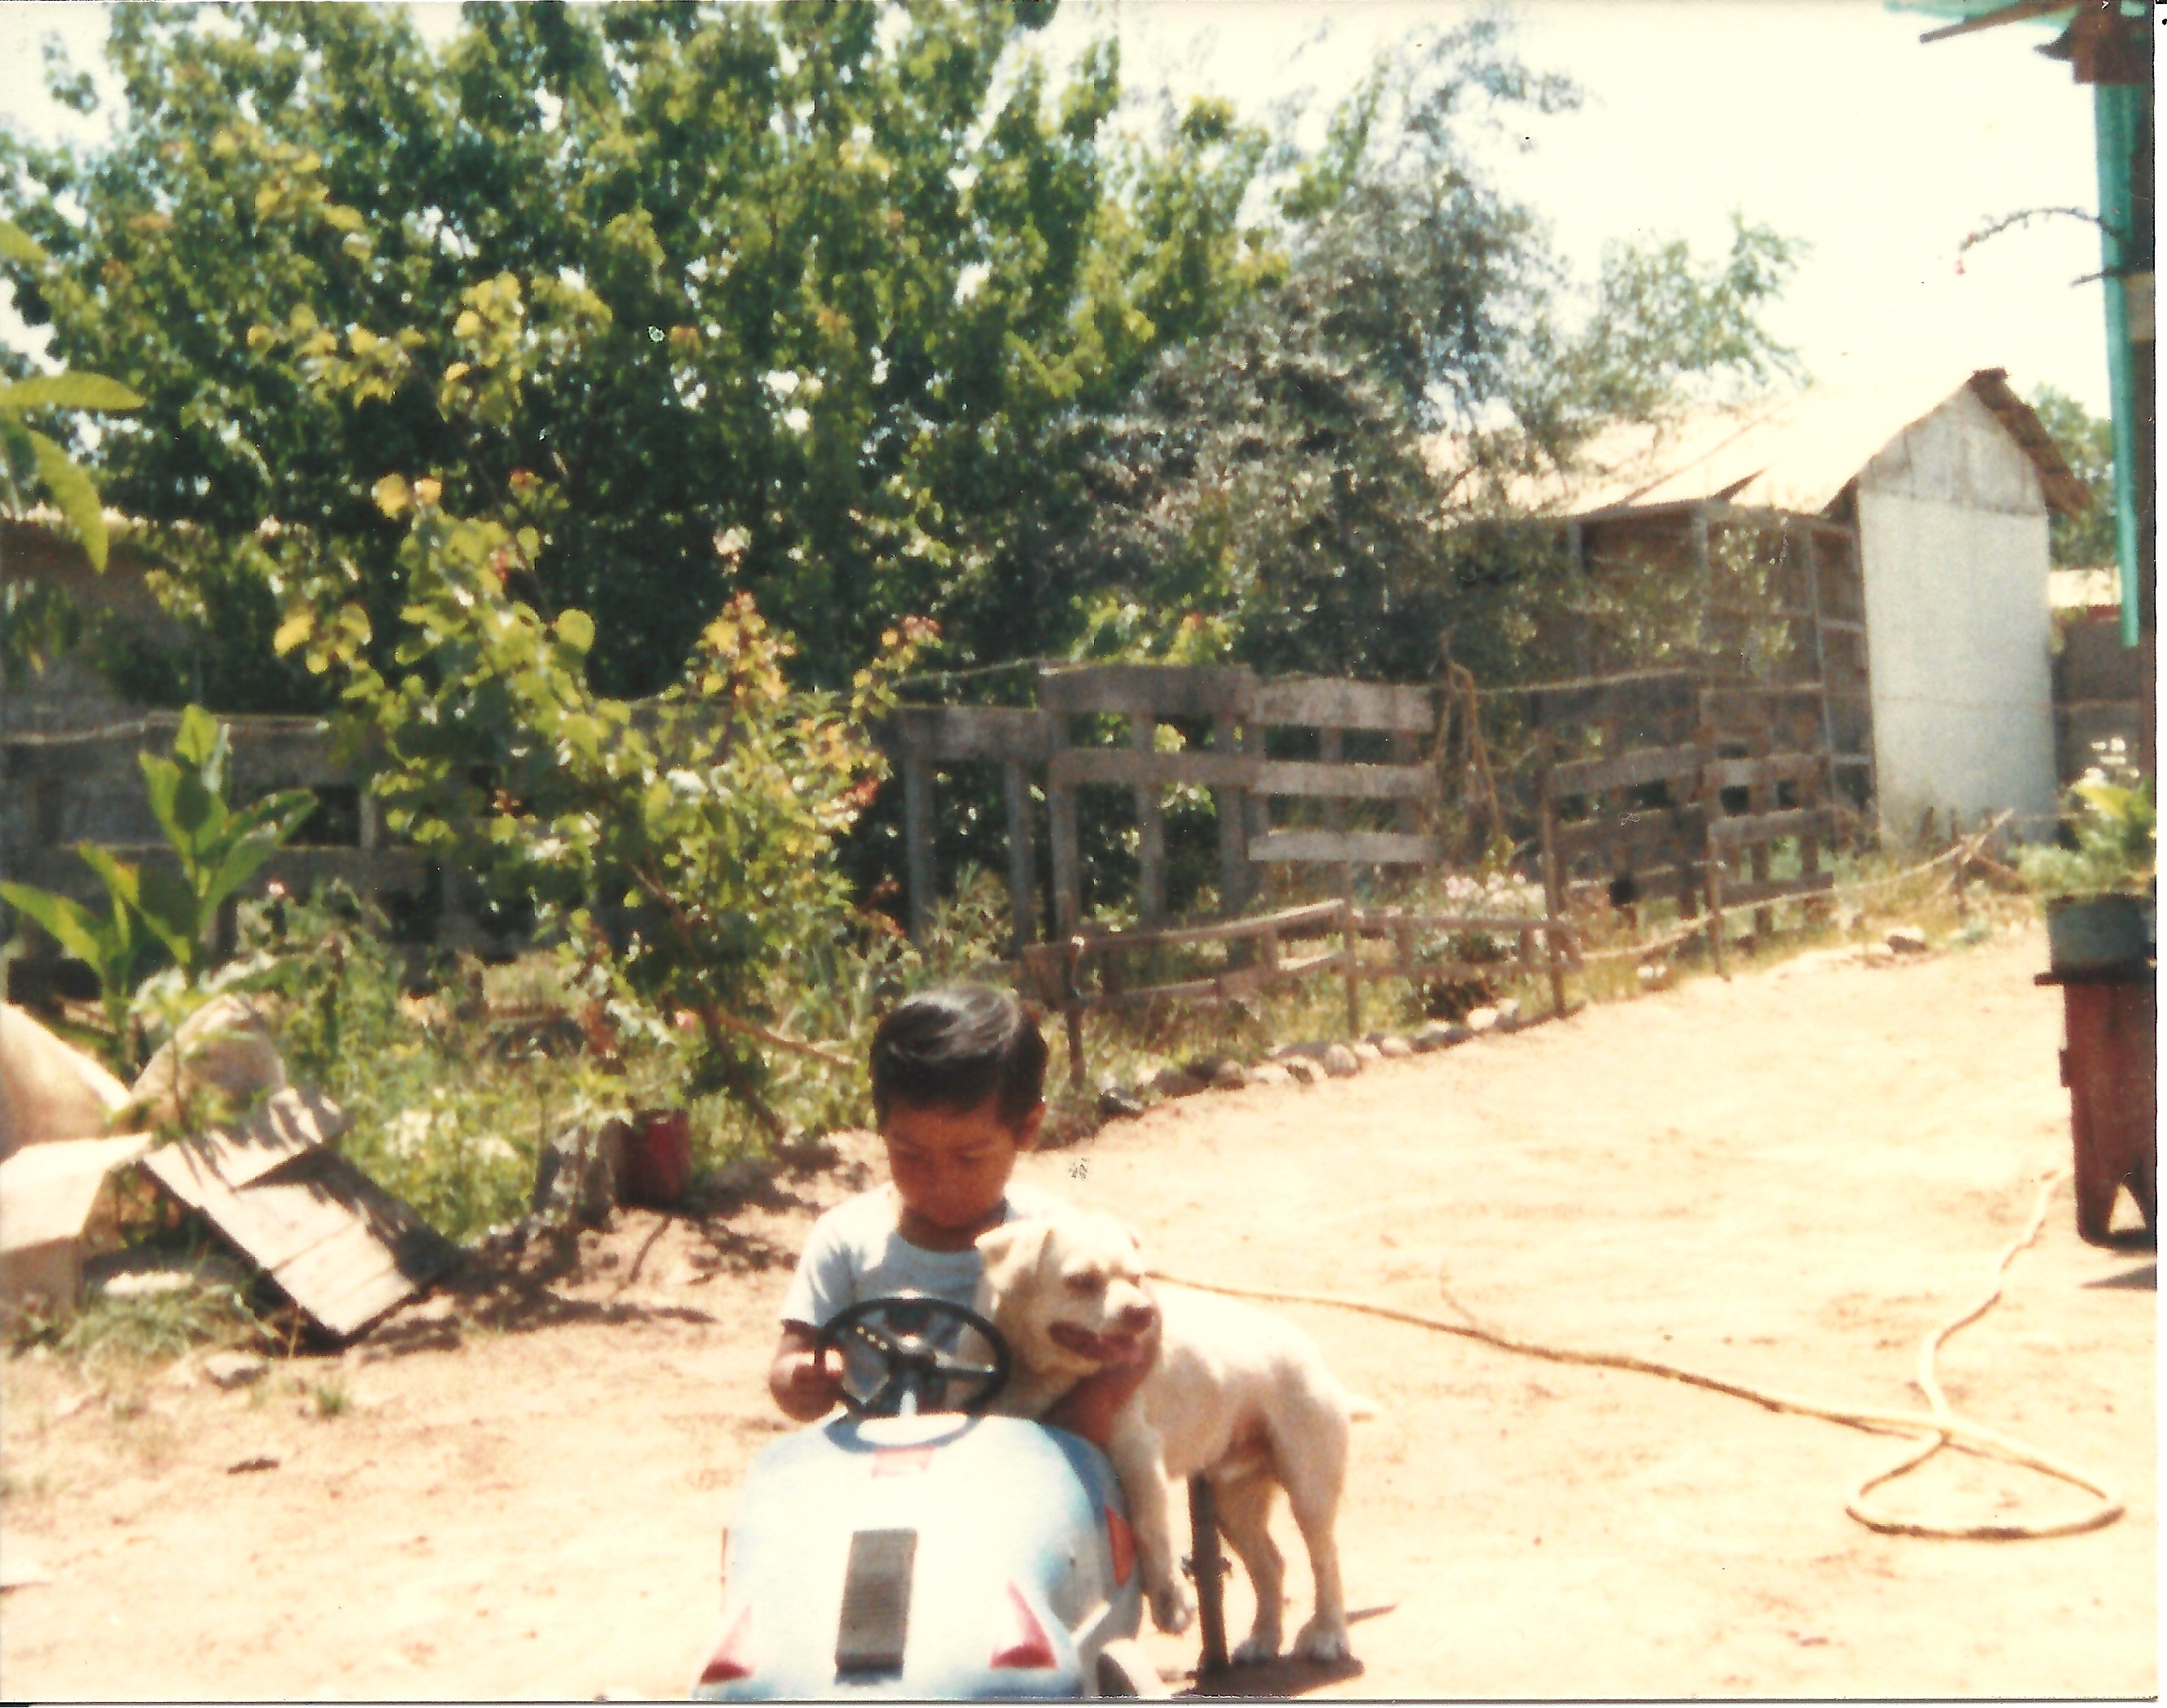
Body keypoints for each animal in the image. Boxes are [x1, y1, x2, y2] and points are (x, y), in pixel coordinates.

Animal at [984, 1205, 1369, 1664]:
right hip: (1234, 1504)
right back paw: (1262, 1638)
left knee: (1325, 1558)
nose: (1143, 1312)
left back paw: (1328, 1633)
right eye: (1081, 1280)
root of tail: (1316, 1360)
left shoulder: (1138, 1457)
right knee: (1271, 1566)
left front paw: (1172, 1604)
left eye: (1136, 1278)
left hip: (1308, 1488)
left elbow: (1150, 1532)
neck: (1044, 1376)